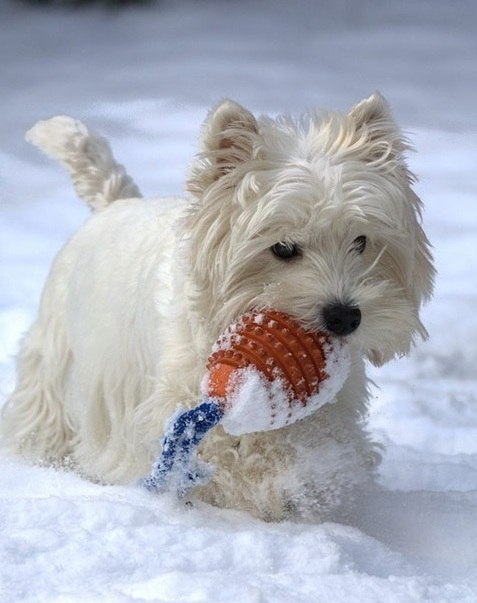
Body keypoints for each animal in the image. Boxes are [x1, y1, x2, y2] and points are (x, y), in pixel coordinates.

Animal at [0, 95, 434, 524]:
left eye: (361, 241)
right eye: (283, 248)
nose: (344, 317)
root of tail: (115, 203)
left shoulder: (331, 405)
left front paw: (317, 478)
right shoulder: (178, 401)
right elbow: (224, 453)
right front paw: (274, 484)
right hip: (56, 363)